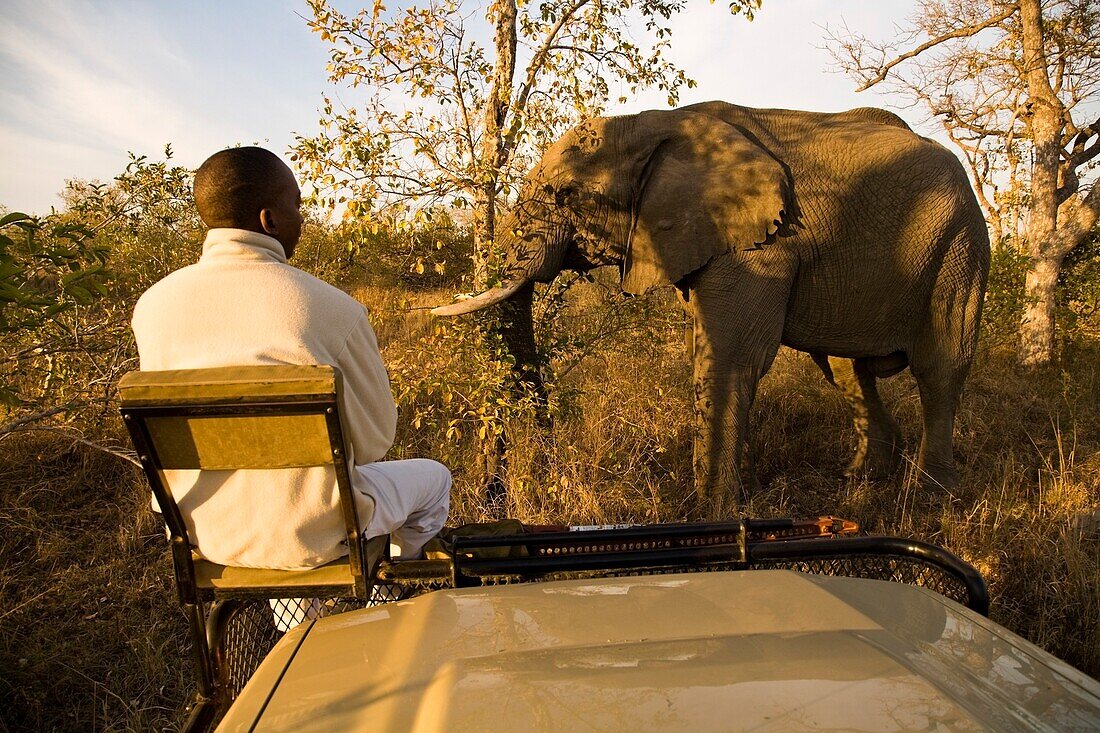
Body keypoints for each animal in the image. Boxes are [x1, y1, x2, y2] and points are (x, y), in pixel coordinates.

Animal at [431, 100, 990, 506]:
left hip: (959, 245)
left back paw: (930, 497)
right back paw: (861, 480)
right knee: (846, 370)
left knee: (940, 368)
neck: (655, 124)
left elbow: (731, 359)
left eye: (565, 195)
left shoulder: (761, 245)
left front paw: (713, 517)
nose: (507, 487)